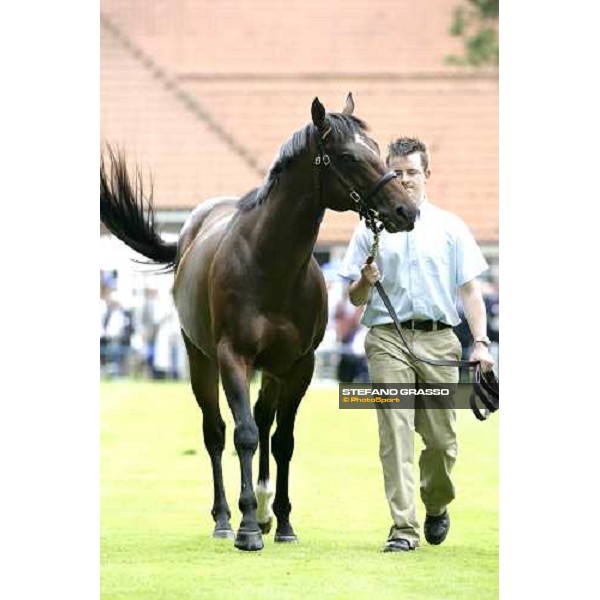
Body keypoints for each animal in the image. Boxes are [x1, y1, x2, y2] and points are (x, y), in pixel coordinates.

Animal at [99, 92, 418, 548]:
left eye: (377, 150)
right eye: (349, 156)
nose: (405, 210)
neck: (269, 263)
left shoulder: (299, 365)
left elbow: (282, 440)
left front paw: (282, 522)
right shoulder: (233, 357)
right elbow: (243, 435)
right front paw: (247, 527)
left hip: (272, 370)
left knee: (264, 420)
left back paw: (267, 510)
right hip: (200, 360)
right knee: (216, 432)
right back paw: (224, 518)